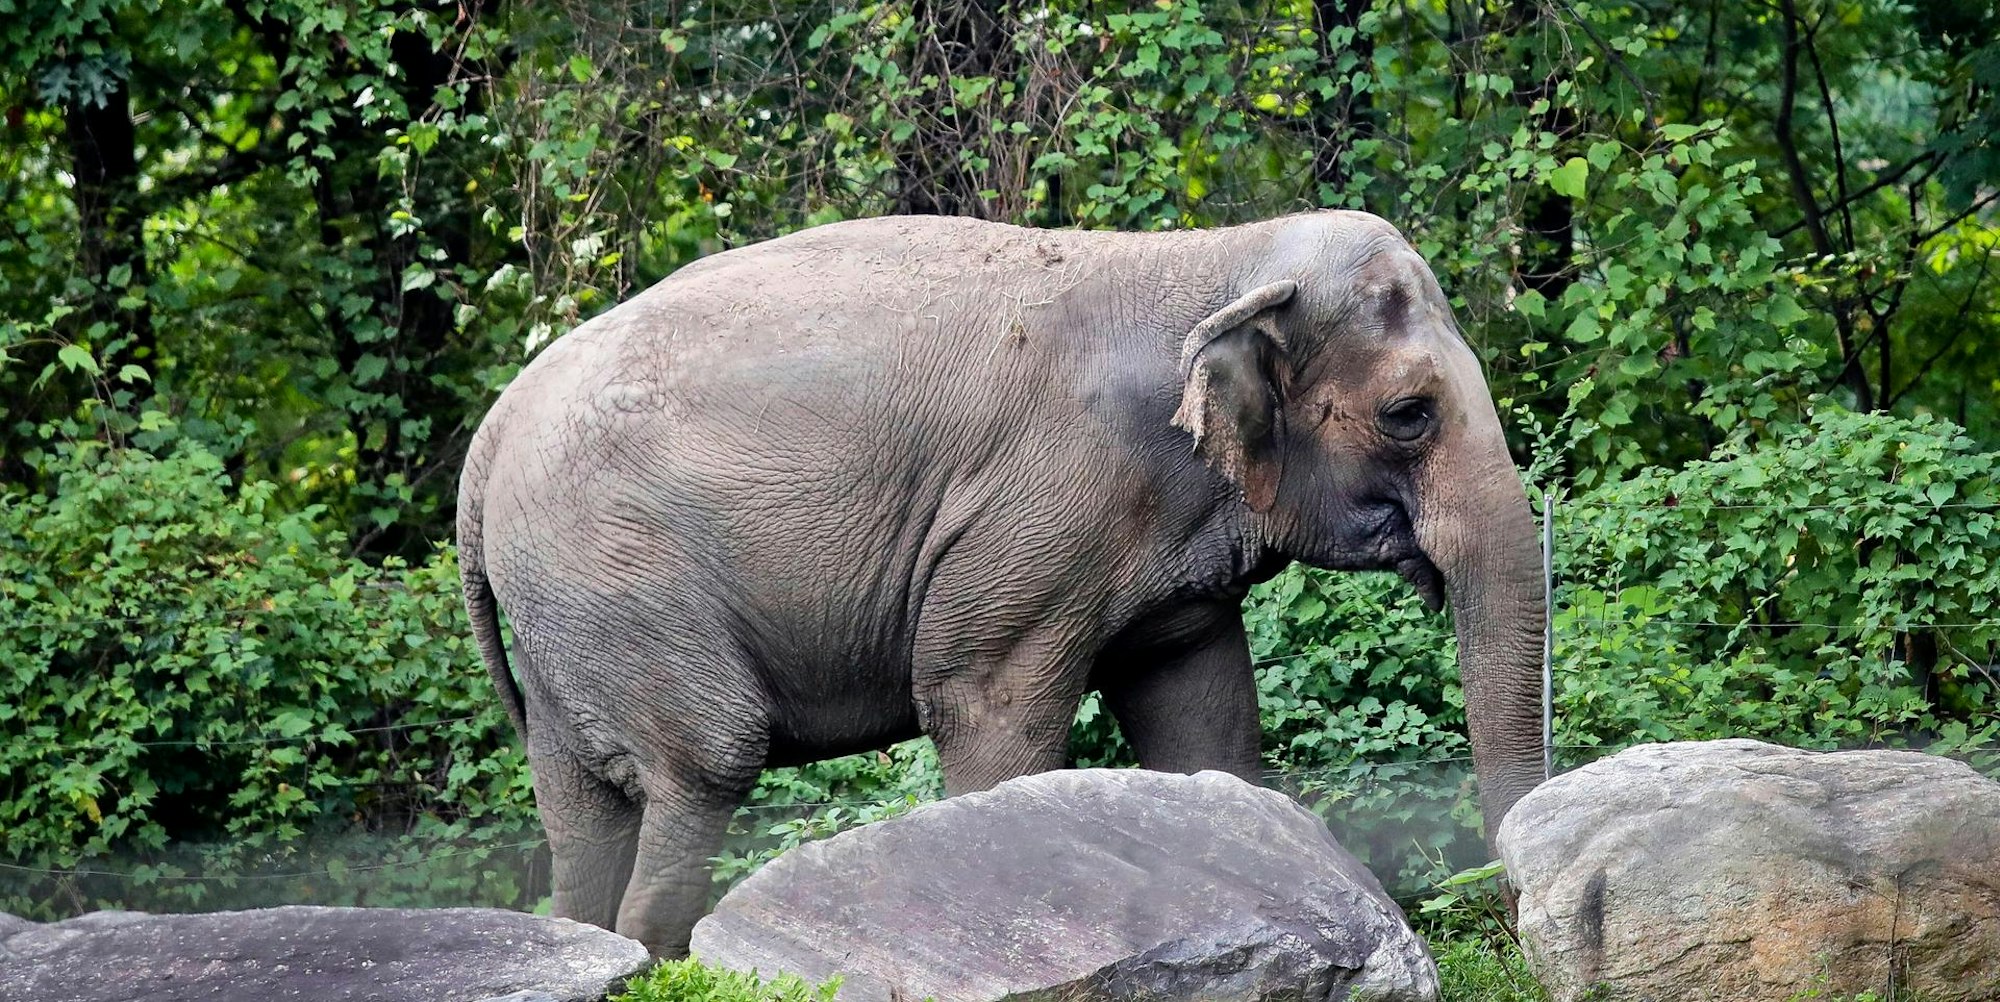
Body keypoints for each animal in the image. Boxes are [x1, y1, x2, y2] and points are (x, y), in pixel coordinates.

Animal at [457, 210, 1548, 957]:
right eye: (1408, 414)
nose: (1509, 916)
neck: (1213, 259)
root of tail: (490, 435)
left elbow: (1203, 718)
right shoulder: (1041, 511)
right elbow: (985, 707)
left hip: (565, 614)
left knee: (580, 809)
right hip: (619, 574)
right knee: (705, 764)